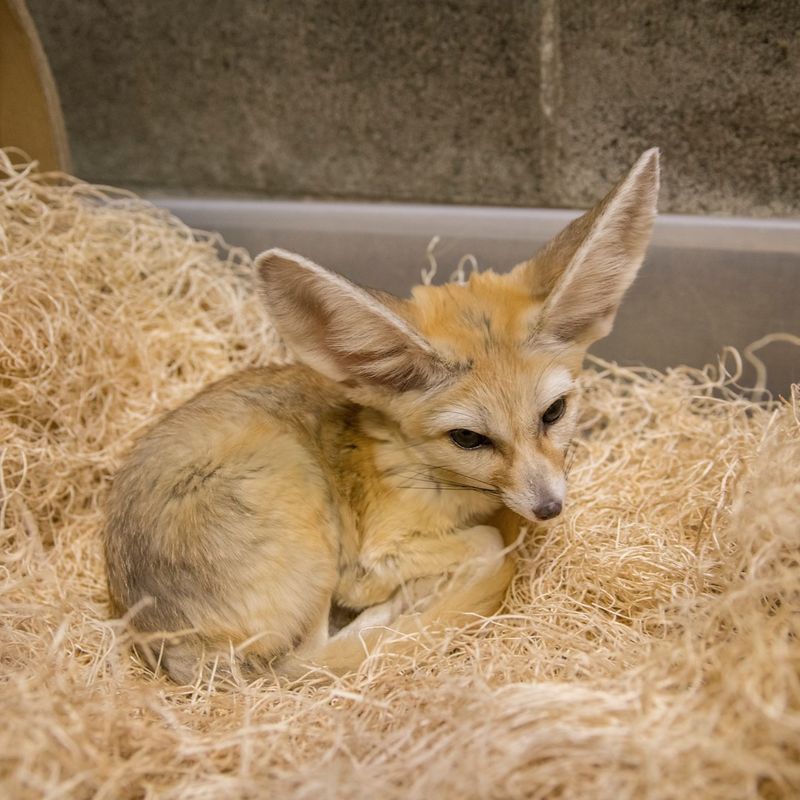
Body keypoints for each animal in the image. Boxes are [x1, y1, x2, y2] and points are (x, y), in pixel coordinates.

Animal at [104, 148, 656, 680]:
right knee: (306, 657)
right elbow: (483, 541)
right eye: (468, 438)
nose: (549, 509)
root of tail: (161, 643)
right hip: (306, 510)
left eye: (554, 412)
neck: (420, 467)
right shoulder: (377, 554)